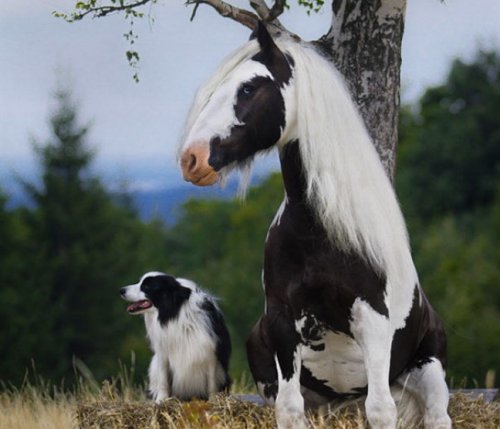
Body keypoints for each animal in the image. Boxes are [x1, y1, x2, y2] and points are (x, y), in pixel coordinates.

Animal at [120, 270, 231, 402]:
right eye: (139, 282)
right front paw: (161, 400)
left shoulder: (210, 353)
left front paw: (214, 399)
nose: (121, 290)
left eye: (146, 286)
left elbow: (212, 382)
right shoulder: (163, 353)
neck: (174, 314)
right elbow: (163, 380)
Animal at [178, 23, 452, 428]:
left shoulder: (372, 320)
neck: (318, 233)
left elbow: (380, 410)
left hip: (429, 372)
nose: (191, 159)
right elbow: (289, 409)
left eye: (248, 88)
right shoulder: (281, 322)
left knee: (435, 415)